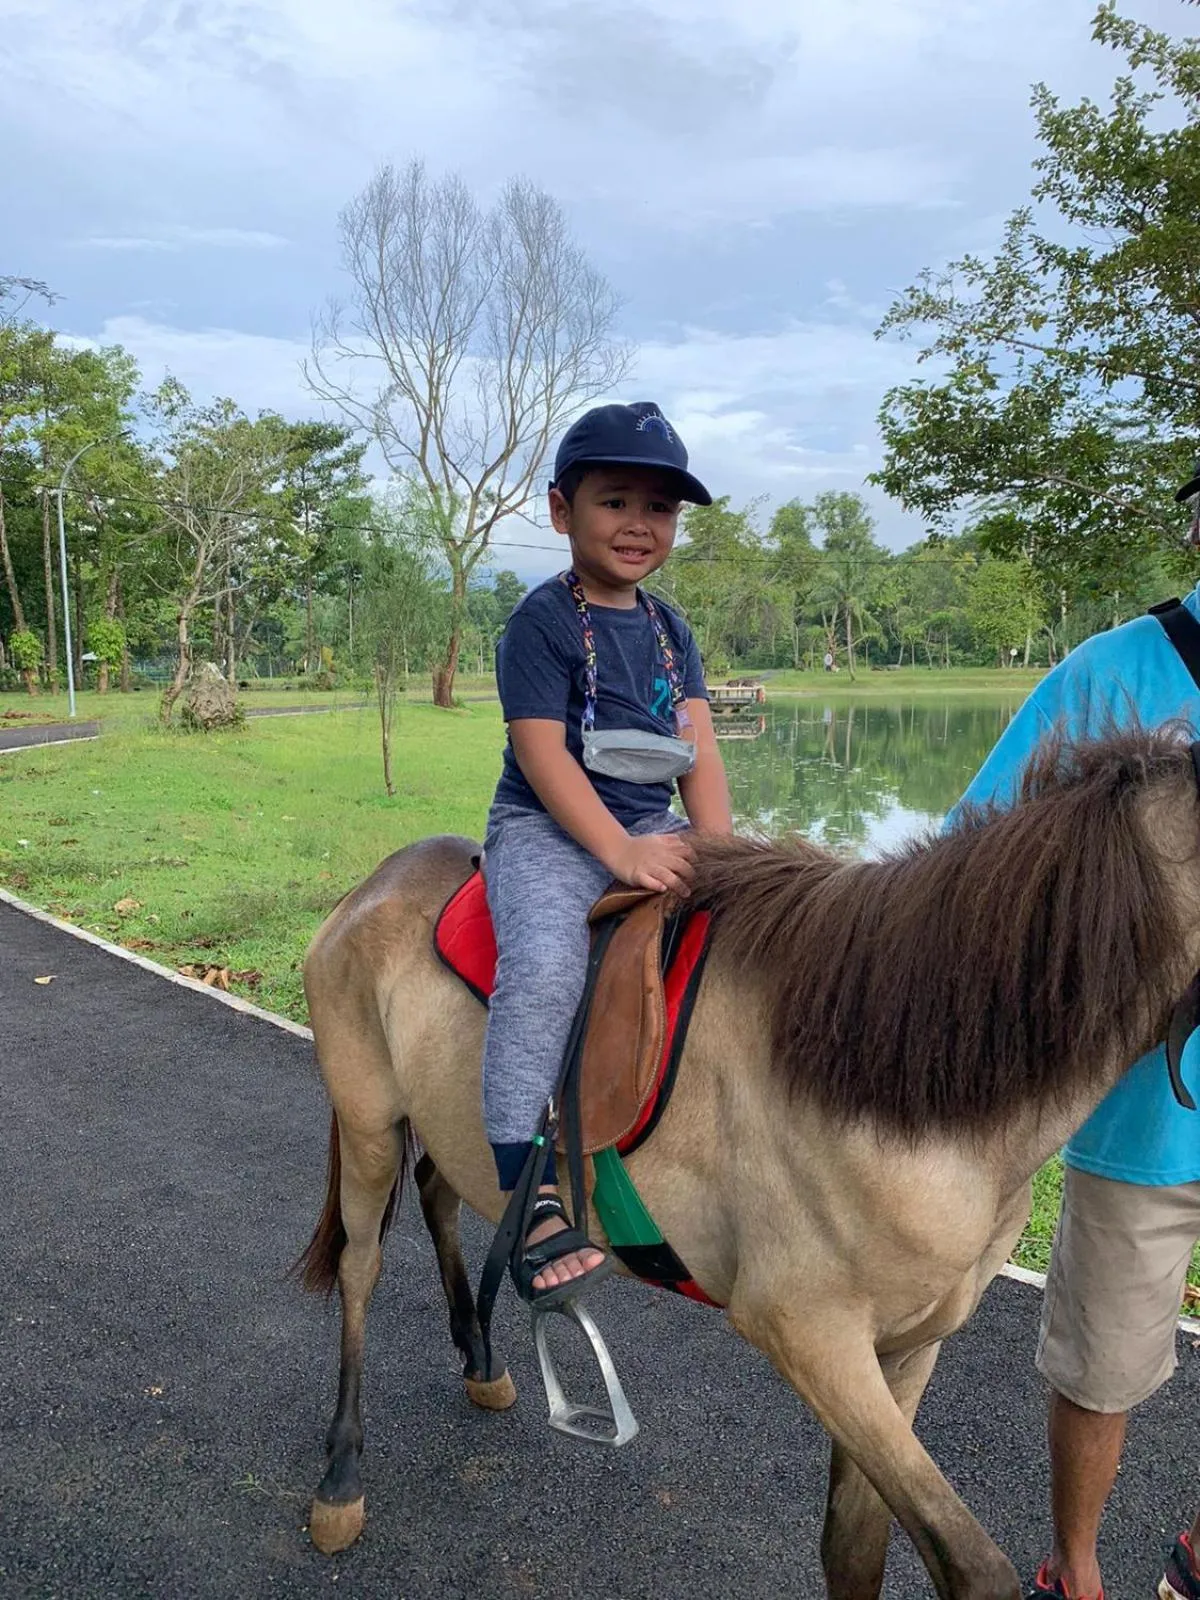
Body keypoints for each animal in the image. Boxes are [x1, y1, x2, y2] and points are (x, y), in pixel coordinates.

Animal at [297, 725, 1200, 1600]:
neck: (884, 1074)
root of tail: (371, 886)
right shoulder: (807, 1333)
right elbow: (973, 1566)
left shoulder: (907, 1351)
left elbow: (855, 1549)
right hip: (371, 1126)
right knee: (360, 1266)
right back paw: (341, 1475)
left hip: (446, 1124)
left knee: (438, 1192)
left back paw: (480, 1360)